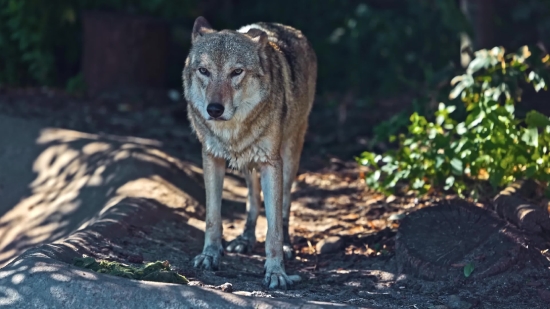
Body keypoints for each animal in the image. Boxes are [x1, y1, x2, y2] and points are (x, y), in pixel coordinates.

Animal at [183, 15, 316, 288]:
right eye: (204, 71)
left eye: (236, 72)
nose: (214, 109)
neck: (232, 131)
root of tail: (282, 27)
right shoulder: (211, 158)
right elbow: (213, 217)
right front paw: (210, 255)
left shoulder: (271, 163)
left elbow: (274, 229)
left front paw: (276, 272)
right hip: (246, 164)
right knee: (252, 201)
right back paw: (245, 239)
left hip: (289, 158)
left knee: (284, 206)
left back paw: (286, 245)